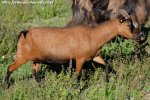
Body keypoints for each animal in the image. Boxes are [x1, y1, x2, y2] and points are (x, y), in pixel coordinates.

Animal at [4, 16, 144, 86]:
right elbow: (78, 75)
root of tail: (25, 32)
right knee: (9, 67)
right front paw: (77, 88)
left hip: (35, 59)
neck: (94, 35)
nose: (140, 37)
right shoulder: (79, 58)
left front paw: (109, 79)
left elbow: (107, 64)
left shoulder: (94, 56)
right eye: (128, 25)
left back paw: (41, 85)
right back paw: (6, 85)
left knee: (34, 72)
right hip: (22, 56)